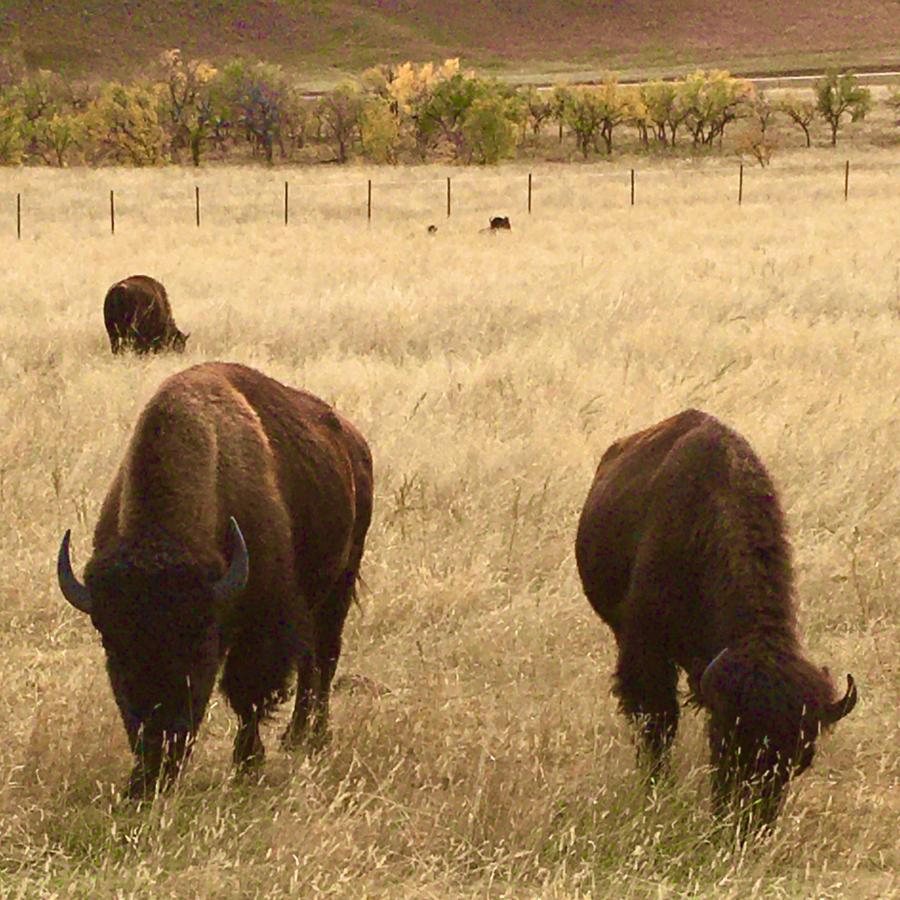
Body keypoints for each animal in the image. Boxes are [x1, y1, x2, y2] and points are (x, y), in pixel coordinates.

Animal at [57, 362, 372, 800]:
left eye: (199, 643)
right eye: (111, 644)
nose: (155, 763)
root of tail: (354, 442)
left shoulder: (261, 623)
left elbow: (247, 695)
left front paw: (247, 765)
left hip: (340, 582)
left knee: (325, 658)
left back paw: (316, 738)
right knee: (309, 661)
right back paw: (294, 736)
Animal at [576, 408, 856, 828]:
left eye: (799, 760)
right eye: (727, 745)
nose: (749, 826)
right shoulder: (647, 651)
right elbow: (657, 722)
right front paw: (657, 789)